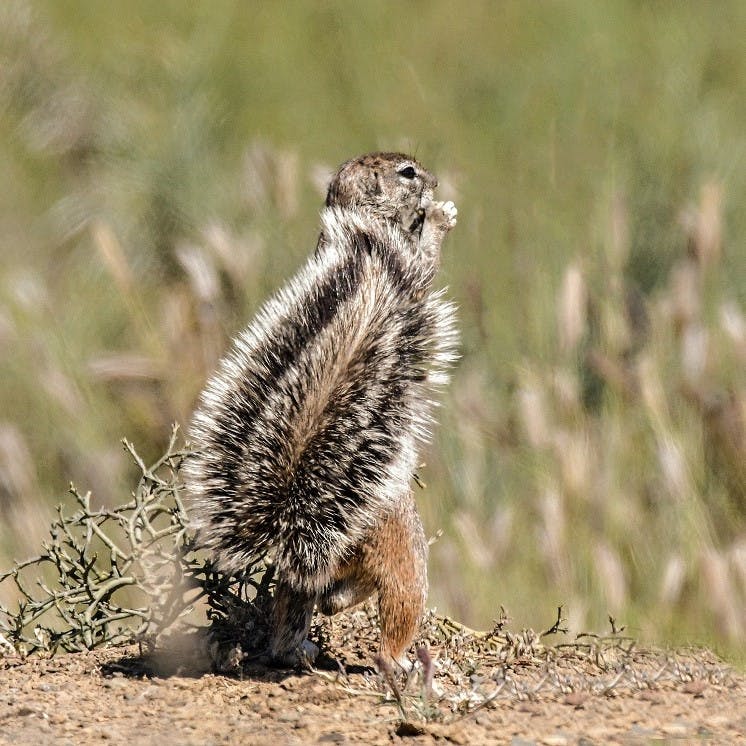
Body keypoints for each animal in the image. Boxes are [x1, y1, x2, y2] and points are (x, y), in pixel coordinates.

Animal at [183, 151, 456, 664]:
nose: (434, 181)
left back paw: (298, 647)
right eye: (408, 172)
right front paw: (439, 218)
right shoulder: (407, 265)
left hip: (314, 581)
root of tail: (299, 521)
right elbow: (427, 263)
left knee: (304, 604)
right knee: (391, 616)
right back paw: (404, 662)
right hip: (408, 561)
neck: (359, 227)